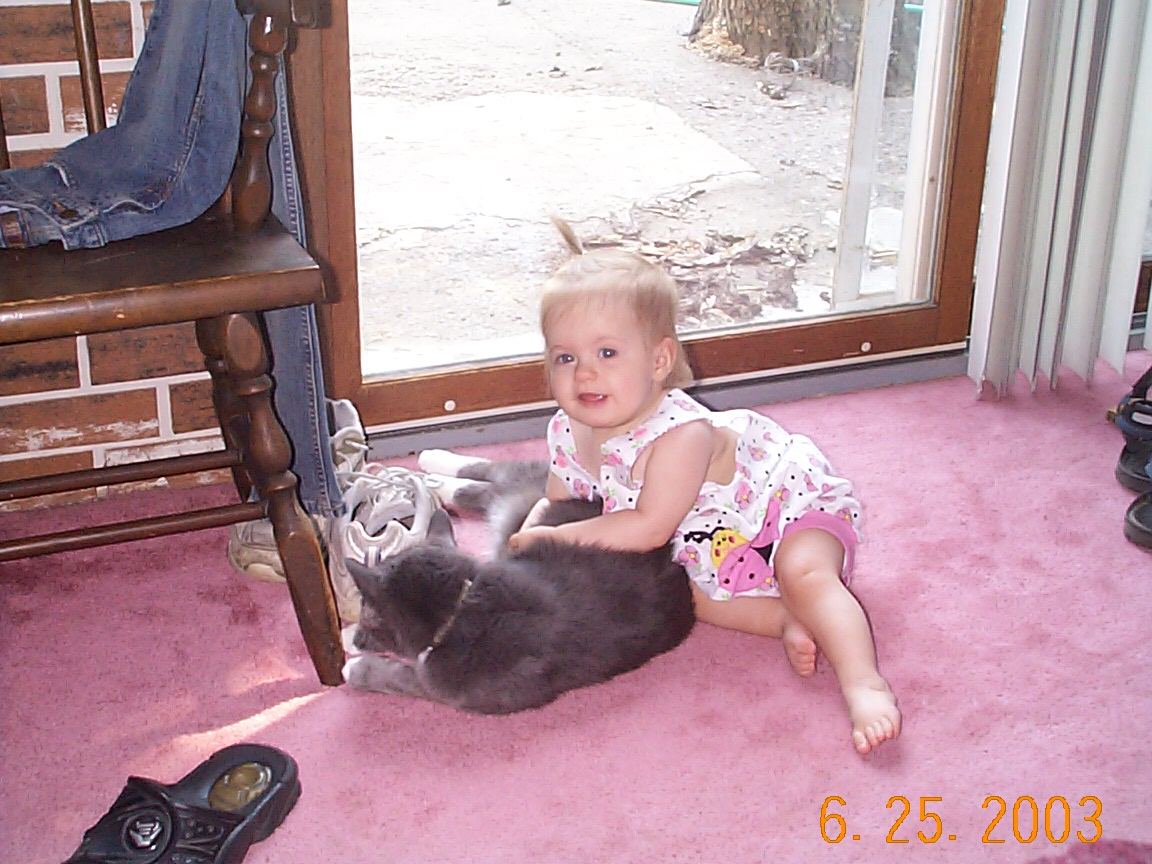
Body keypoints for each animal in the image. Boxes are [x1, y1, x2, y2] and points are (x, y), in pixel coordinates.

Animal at [341, 455, 695, 714]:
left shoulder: (452, 689)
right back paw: (432, 470)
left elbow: (400, 677)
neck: (462, 605)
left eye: (367, 613)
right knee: (492, 475)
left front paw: (354, 665)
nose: (357, 636)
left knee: (491, 481)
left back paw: (432, 478)